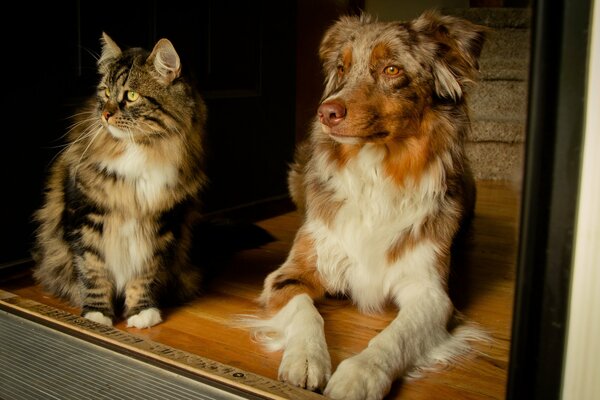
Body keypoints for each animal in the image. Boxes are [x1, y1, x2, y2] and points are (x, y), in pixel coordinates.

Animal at [31, 33, 207, 328]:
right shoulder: (86, 218)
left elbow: (145, 275)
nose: (105, 114)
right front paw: (97, 316)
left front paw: (142, 313)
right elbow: (93, 272)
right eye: (104, 92)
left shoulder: (160, 225)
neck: (139, 149)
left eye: (131, 96)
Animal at [244, 9, 488, 400]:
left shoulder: (431, 293)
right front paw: (306, 358)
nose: (325, 112)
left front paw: (360, 373)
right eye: (342, 68)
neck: (376, 171)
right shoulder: (291, 272)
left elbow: (397, 336)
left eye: (392, 69)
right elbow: (305, 311)